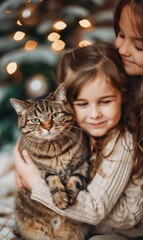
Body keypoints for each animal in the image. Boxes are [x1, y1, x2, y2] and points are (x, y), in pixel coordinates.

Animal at [10, 84, 93, 240]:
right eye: (36, 120)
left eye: (55, 115)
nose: (48, 127)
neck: (54, 149)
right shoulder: (42, 169)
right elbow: (53, 180)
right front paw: (60, 198)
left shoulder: (82, 163)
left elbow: (75, 180)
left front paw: (69, 196)